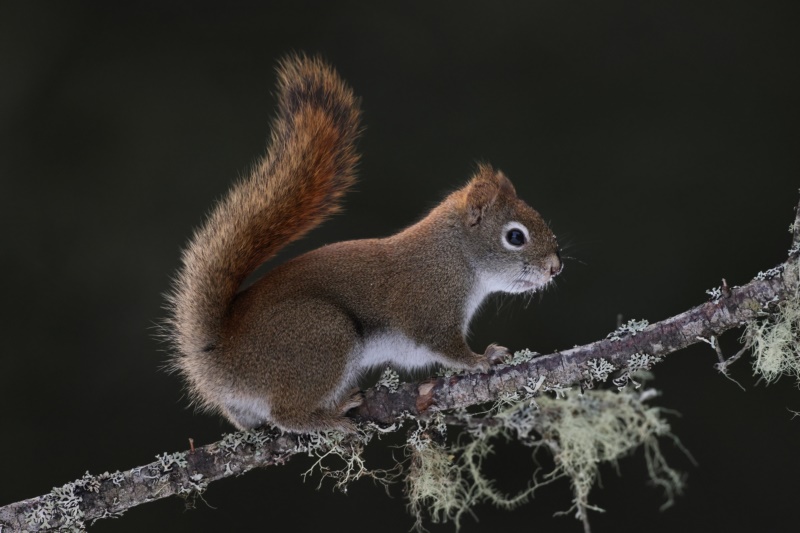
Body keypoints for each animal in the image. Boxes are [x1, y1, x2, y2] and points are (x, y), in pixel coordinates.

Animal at [166, 56, 560, 434]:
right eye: (515, 236)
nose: (556, 267)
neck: (456, 255)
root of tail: (220, 358)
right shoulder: (429, 306)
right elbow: (447, 348)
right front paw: (482, 359)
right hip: (323, 337)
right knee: (285, 414)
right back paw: (332, 416)